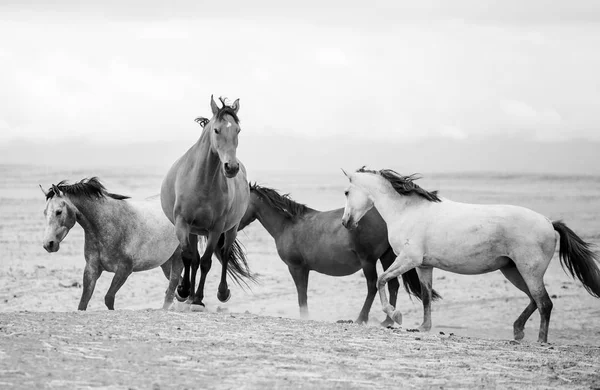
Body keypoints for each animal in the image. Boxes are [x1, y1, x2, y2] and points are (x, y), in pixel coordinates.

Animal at [39, 177, 183, 310]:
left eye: (58, 212)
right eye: (45, 212)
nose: (48, 244)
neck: (109, 225)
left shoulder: (124, 270)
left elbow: (108, 298)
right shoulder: (92, 269)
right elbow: (83, 302)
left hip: (177, 257)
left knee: (173, 284)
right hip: (166, 262)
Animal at [159, 96, 253, 310]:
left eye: (238, 130)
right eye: (216, 130)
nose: (231, 167)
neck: (202, 181)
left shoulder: (216, 228)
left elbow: (206, 262)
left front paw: (199, 299)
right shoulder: (182, 224)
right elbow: (188, 257)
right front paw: (184, 291)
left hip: (231, 228)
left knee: (224, 254)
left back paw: (220, 292)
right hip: (194, 231)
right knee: (193, 259)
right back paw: (189, 294)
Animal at [238, 184, 440, 324]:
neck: (289, 224)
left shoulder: (296, 268)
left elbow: (302, 294)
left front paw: (305, 317)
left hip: (368, 261)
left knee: (372, 286)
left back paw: (361, 319)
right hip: (387, 257)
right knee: (391, 285)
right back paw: (388, 320)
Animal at [342, 166, 600, 342]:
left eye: (346, 192)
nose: (345, 222)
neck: (408, 211)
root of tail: (549, 222)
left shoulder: (408, 260)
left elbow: (382, 280)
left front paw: (395, 315)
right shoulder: (424, 266)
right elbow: (426, 296)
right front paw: (424, 327)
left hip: (529, 271)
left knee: (544, 303)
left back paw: (540, 341)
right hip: (513, 271)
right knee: (534, 300)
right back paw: (518, 331)